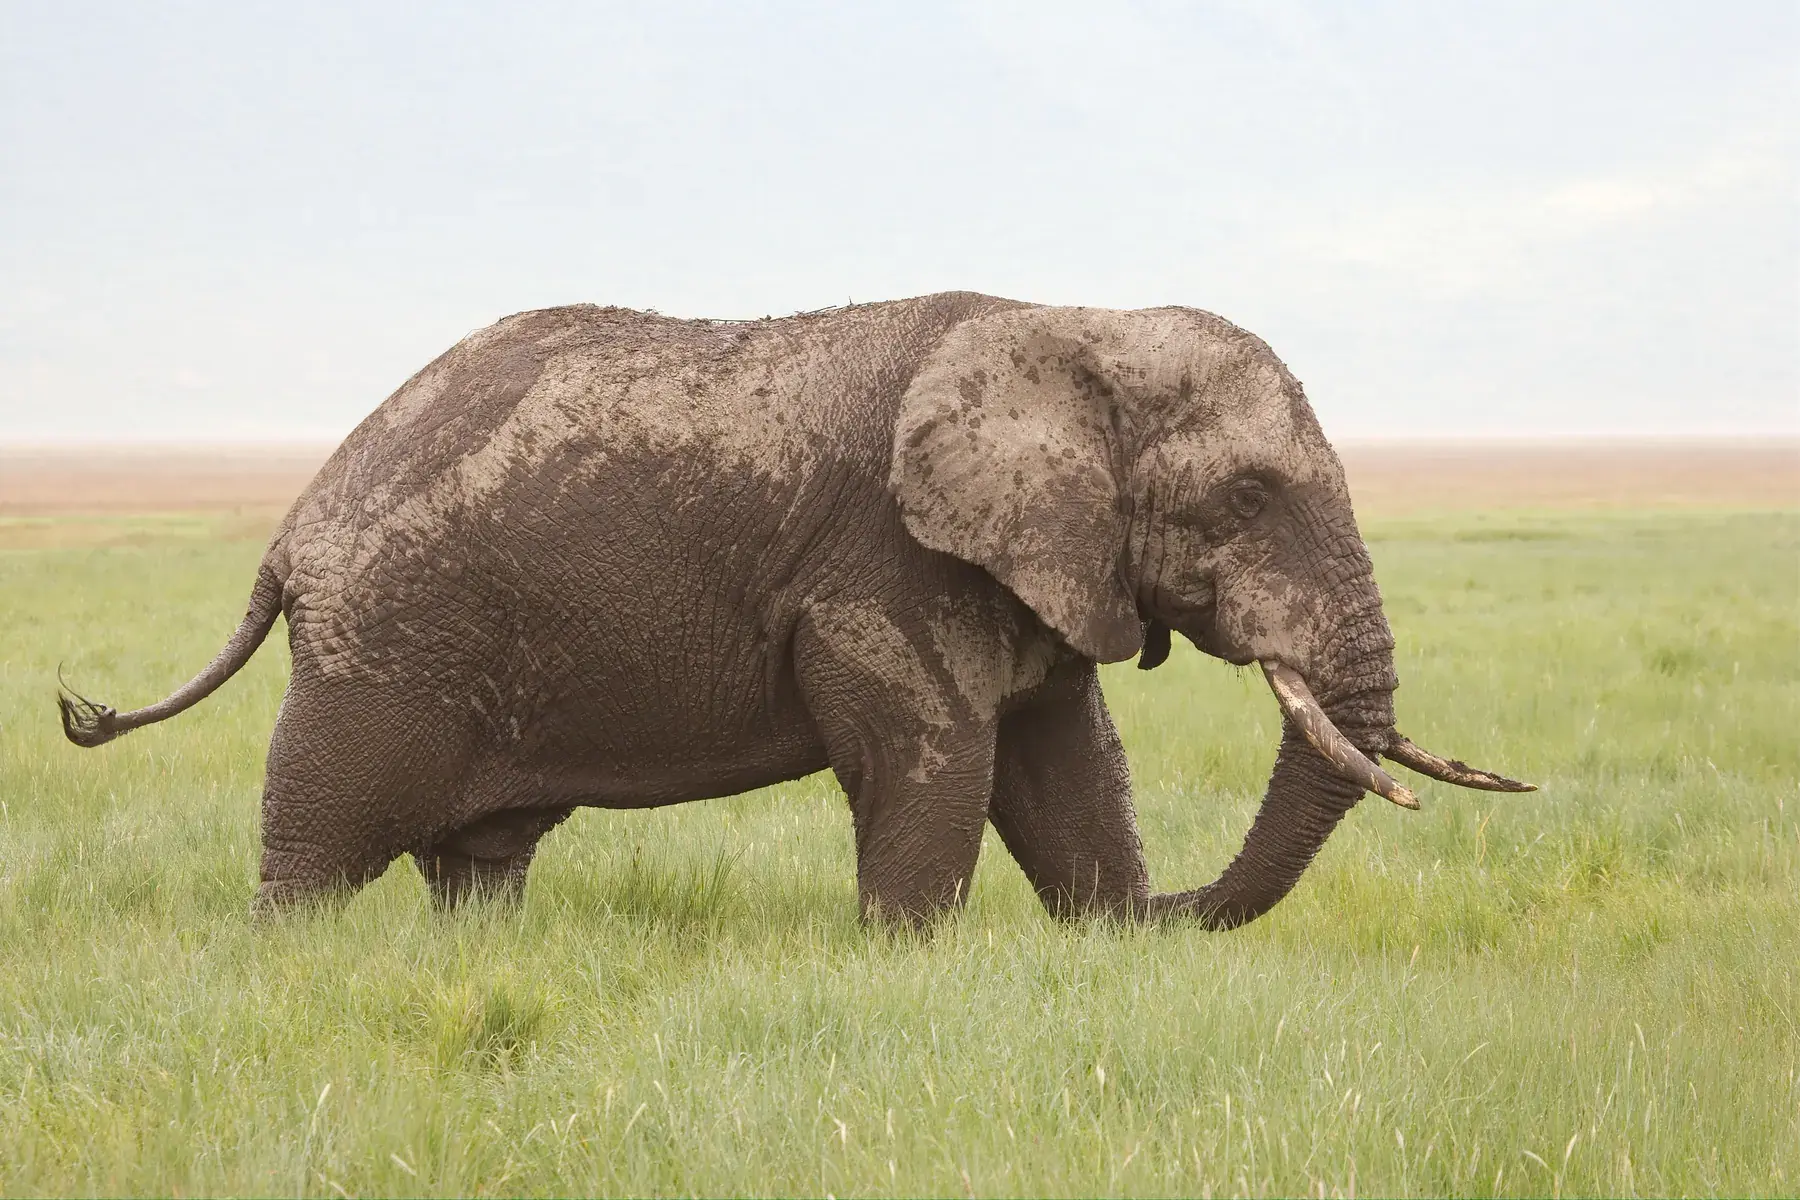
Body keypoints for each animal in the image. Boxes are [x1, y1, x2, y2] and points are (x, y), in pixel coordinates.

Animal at [59, 292, 1532, 925]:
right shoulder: (886, 565)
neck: (1074, 325)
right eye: (1245, 497)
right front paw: (910, 961)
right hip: (391, 645)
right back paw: (291, 955)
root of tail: (290, 528)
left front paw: (1106, 930)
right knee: (327, 840)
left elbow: (1066, 766)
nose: (1174, 908)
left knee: (476, 863)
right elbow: (937, 759)